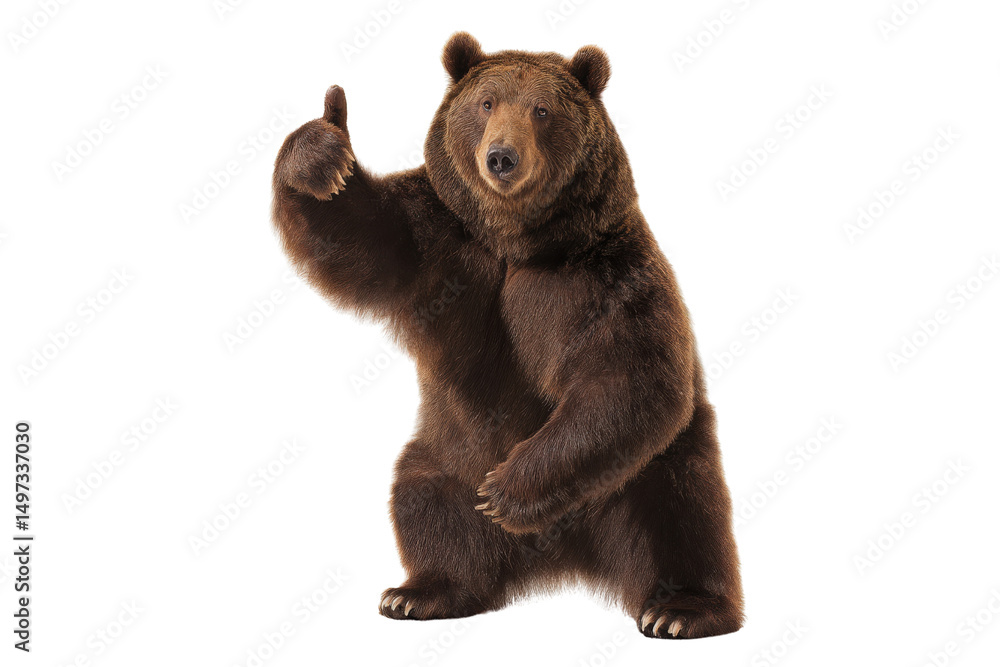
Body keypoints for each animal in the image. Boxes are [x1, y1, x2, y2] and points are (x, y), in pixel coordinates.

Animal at [271, 32, 744, 639]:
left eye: (542, 110)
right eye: (486, 103)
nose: (501, 157)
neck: (516, 241)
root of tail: (561, 557)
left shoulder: (606, 275)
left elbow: (628, 378)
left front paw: (505, 491)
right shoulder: (443, 239)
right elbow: (355, 235)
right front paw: (325, 149)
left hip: (646, 470)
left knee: (682, 507)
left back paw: (680, 610)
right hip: (449, 451)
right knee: (422, 496)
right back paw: (420, 592)